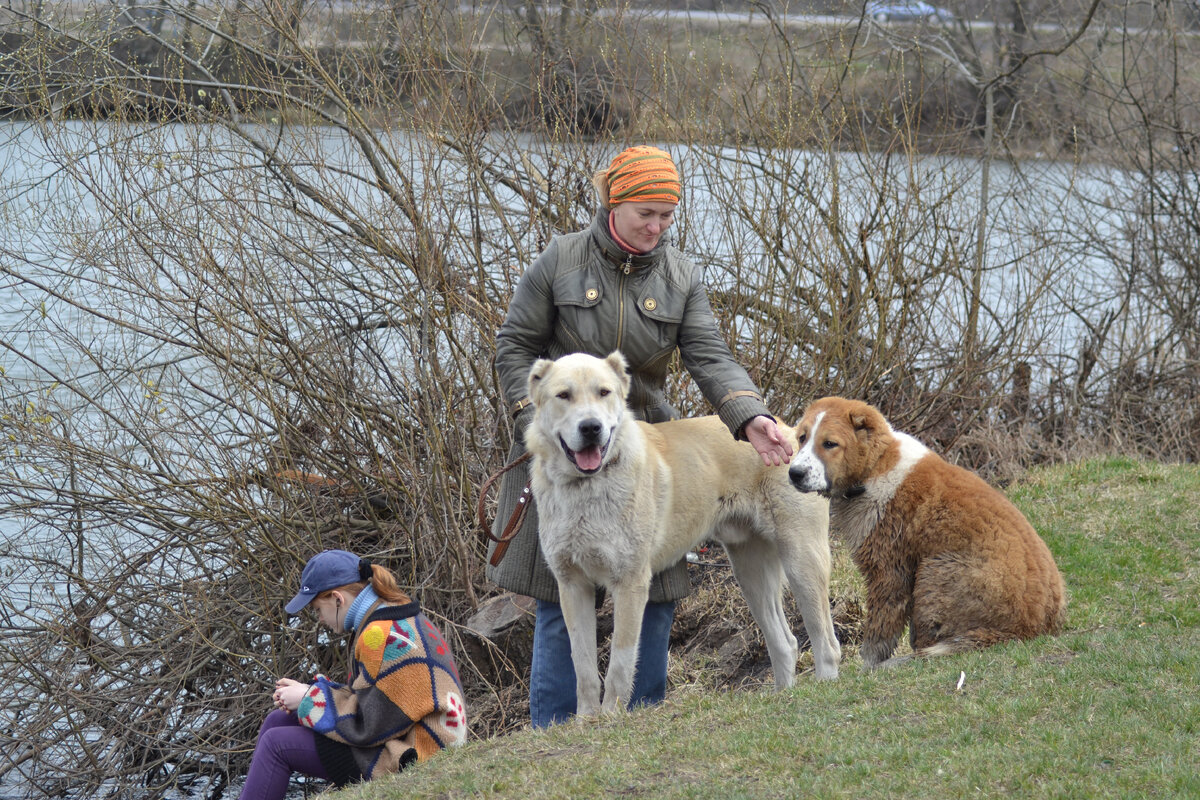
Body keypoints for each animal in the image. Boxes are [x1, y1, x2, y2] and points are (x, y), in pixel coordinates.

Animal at [520, 352, 840, 714]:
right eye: (563, 395)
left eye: (604, 392)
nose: (591, 427)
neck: (588, 486)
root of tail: (790, 432)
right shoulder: (572, 585)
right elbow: (583, 665)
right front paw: (588, 720)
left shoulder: (630, 583)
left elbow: (619, 663)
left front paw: (612, 716)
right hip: (750, 572)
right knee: (784, 643)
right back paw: (782, 698)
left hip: (802, 559)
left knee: (826, 642)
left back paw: (824, 689)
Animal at [792, 398, 1065, 666]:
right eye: (802, 438)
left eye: (830, 443)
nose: (795, 473)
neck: (875, 466)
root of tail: (1028, 628)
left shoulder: (888, 567)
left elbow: (881, 627)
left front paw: (868, 666)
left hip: (937, 572)